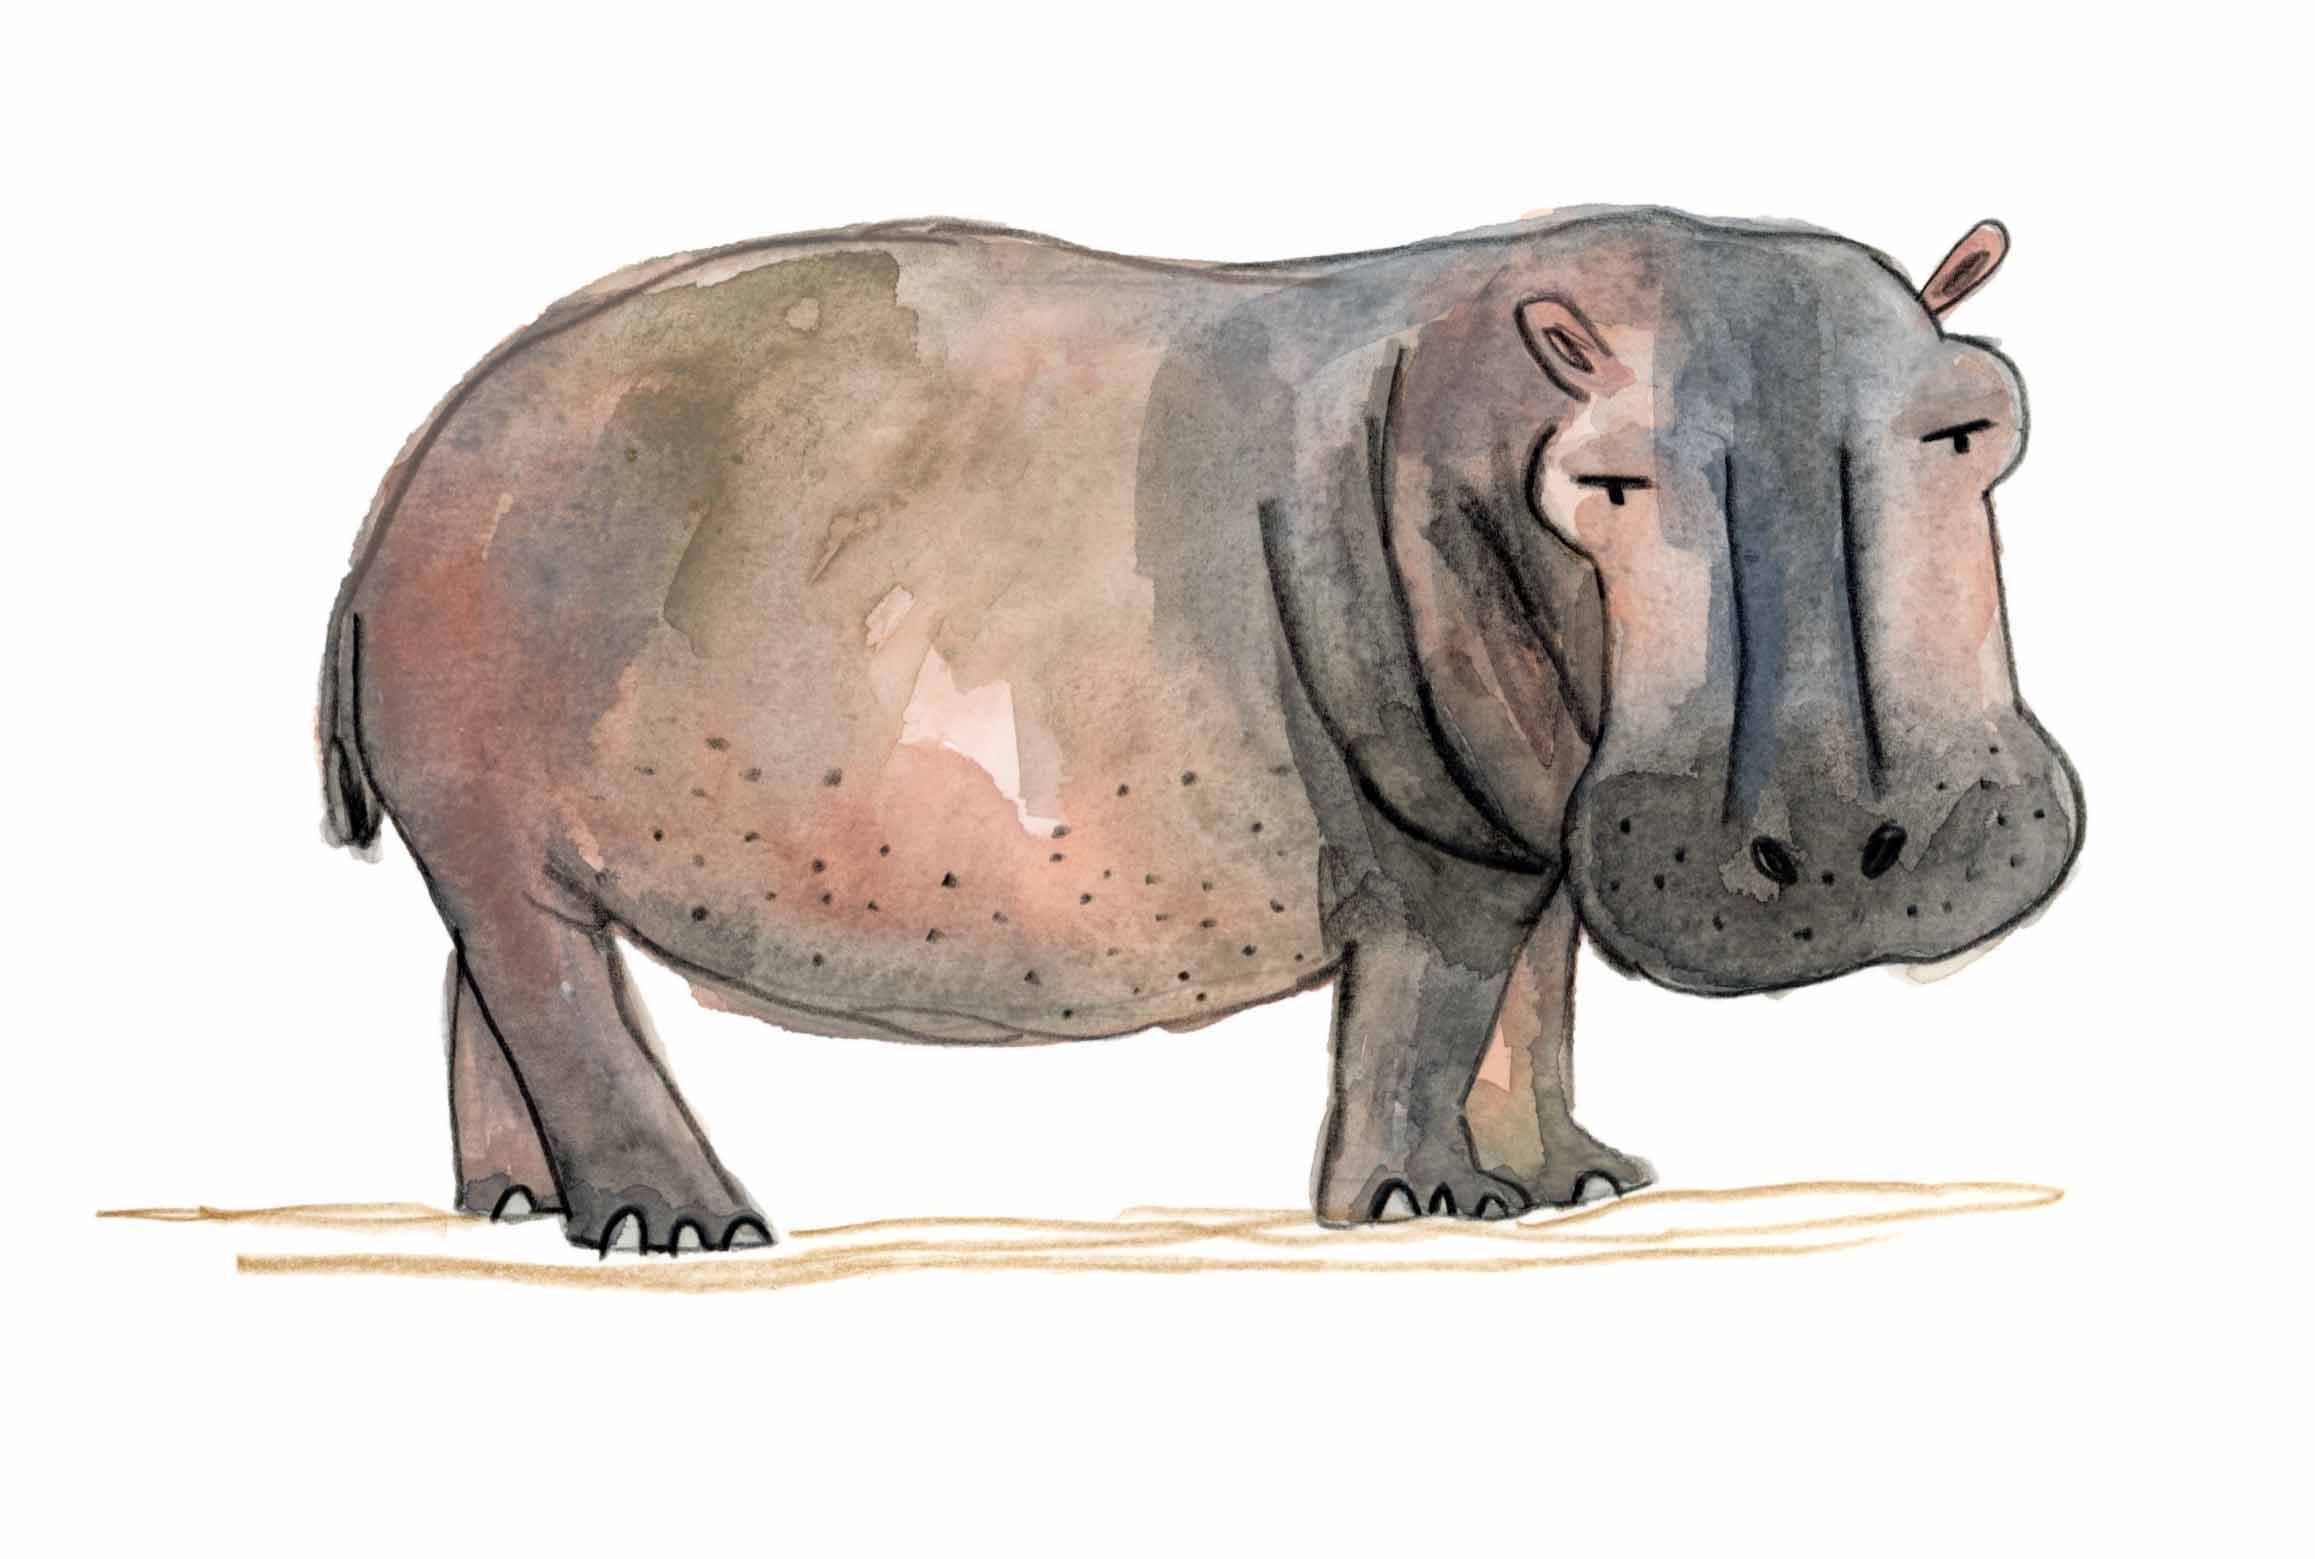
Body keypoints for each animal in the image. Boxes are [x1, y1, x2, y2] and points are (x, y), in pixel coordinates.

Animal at [319, 206, 2082, 1253]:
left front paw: (1569, 1181)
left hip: (509, 834)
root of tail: (405, 480)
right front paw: (1423, 1206)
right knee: (557, 992)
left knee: (492, 981)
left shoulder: (1529, 821)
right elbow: (1438, 1003)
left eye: (1977, 417)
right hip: (489, 790)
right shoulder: (1436, 835)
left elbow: (1534, 996)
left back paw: (513, 1204)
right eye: (1602, 481)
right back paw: (687, 1228)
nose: (1846, 845)